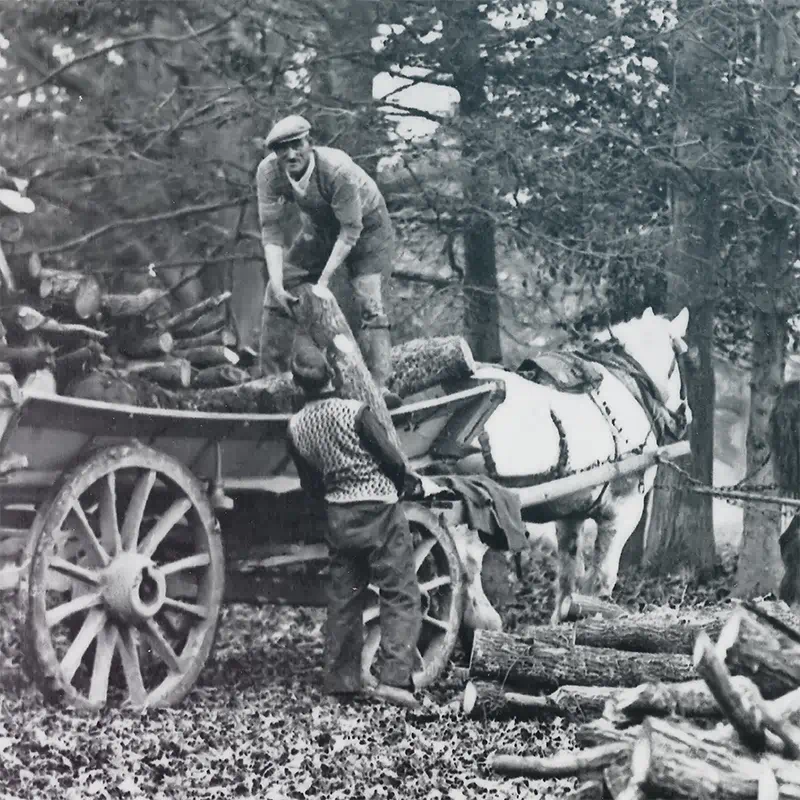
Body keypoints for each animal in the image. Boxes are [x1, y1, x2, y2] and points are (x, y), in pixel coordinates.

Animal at [453, 307, 692, 623]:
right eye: (681, 354)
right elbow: (602, 576)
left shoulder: (570, 514)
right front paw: (598, 613)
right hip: (483, 506)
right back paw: (485, 621)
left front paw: (565, 614)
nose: (684, 415)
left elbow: (569, 574)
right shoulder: (623, 509)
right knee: (466, 561)